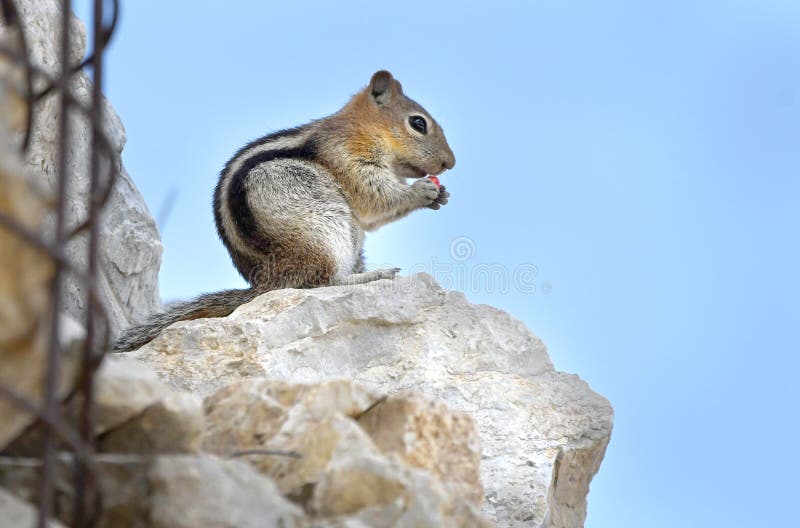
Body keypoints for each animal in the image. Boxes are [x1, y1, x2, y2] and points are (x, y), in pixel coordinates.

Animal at [117, 70, 456, 350]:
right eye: (418, 123)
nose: (450, 163)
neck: (362, 128)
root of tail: (268, 282)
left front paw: (441, 195)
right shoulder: (347, 157)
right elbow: (374, 197)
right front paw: (422, 191)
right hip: (323, 233)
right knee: (320, 283)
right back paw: (374, 275)